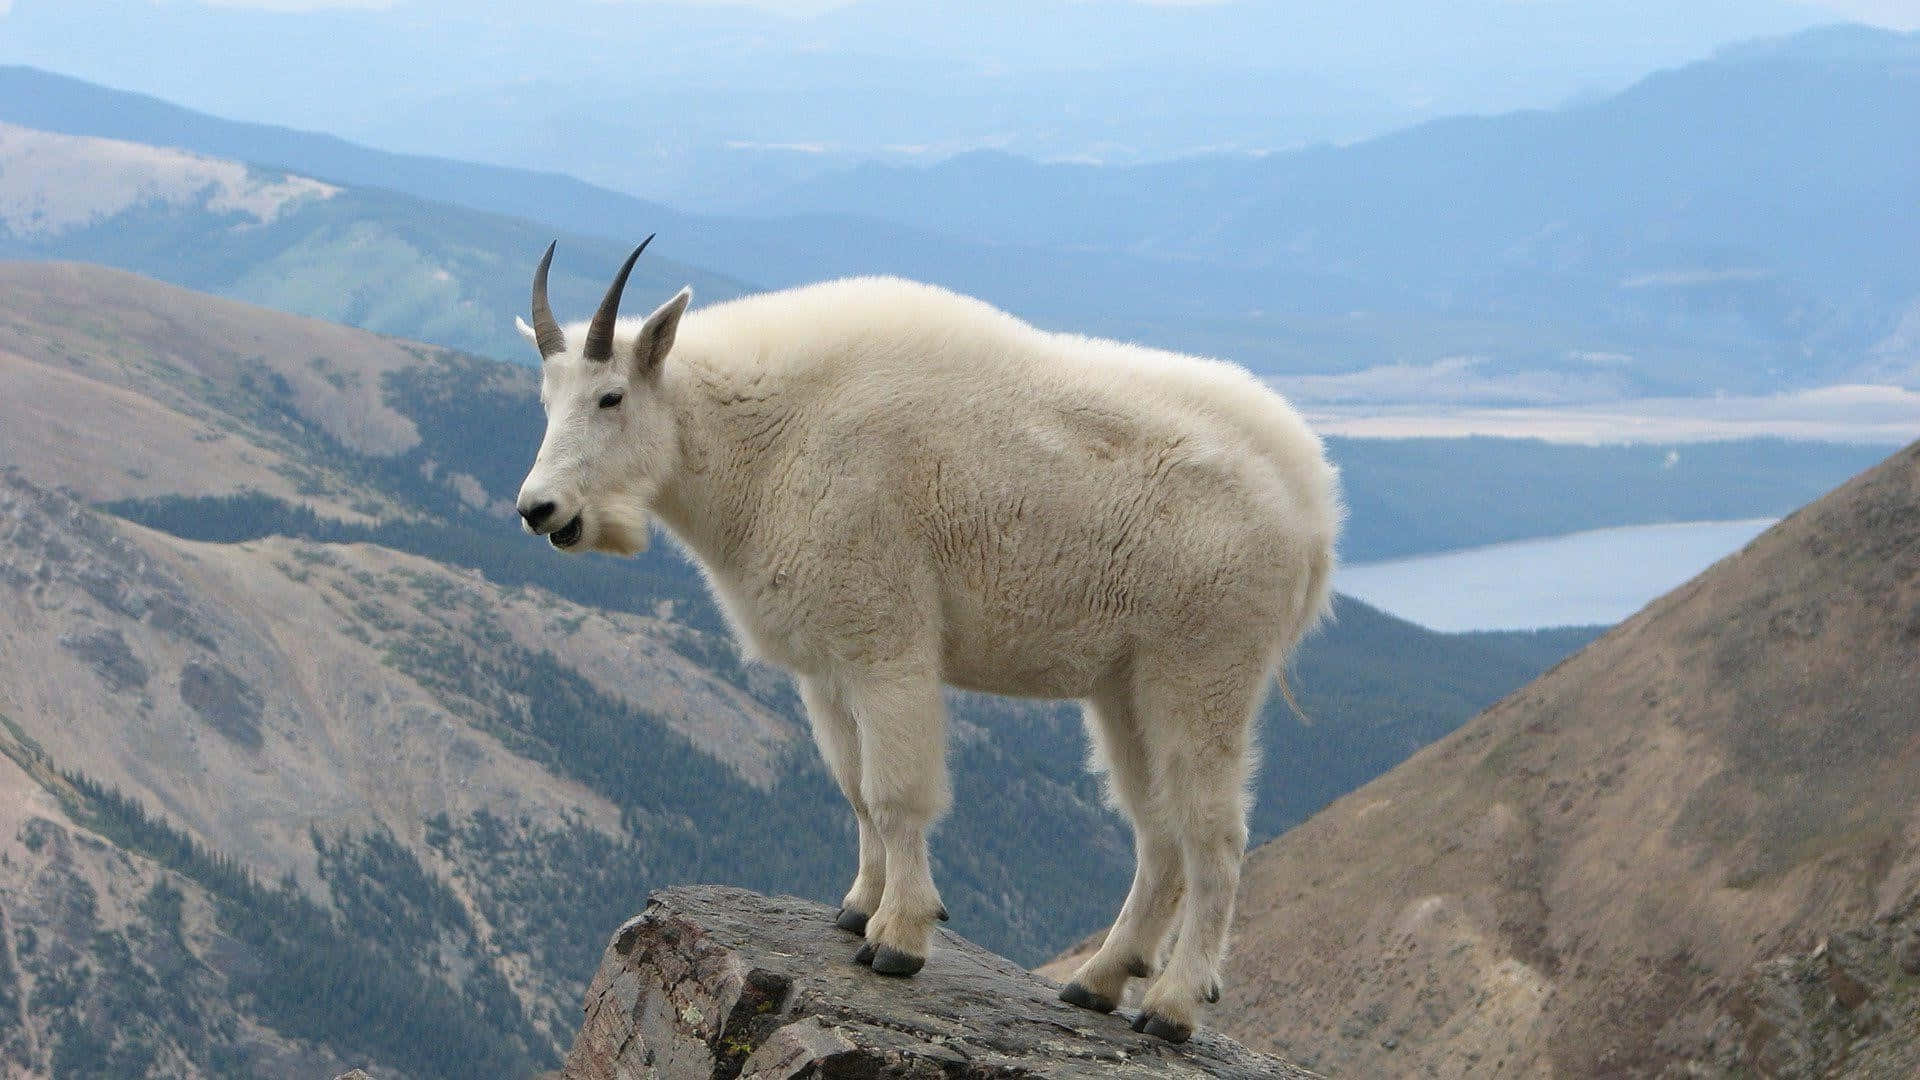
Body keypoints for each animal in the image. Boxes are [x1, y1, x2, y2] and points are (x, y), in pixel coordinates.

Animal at [512, 240, 1341, 1042]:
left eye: (611, 396)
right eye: (546, 401)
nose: (538, 510)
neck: (765, 436)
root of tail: (1314, 507)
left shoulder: (887, 642)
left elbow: (895, 792)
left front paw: (899, 938)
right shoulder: (827, 667)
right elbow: (854, 788)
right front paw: (856, 908)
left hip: (1203, 667)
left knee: (1215, 837)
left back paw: (1172, 1006)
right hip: (1125, 686)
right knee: (1158, 834)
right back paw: (1097, 981)